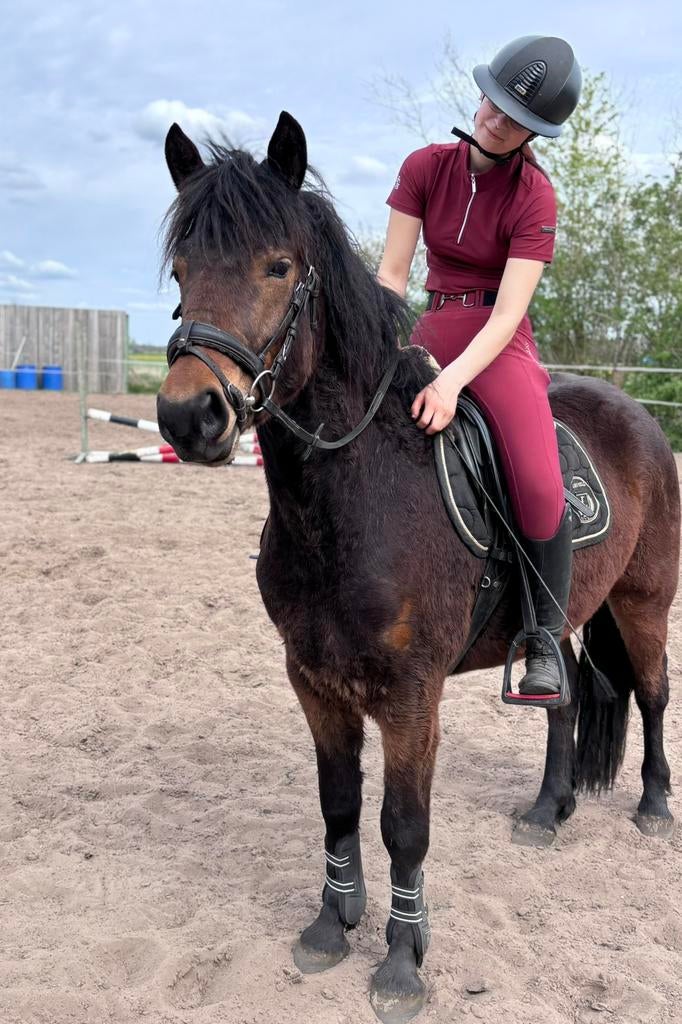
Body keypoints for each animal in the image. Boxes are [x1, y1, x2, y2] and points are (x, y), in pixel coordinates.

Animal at [156, 112, 679, 1024]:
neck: (350, 501)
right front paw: (331, 924)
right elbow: (337, 806)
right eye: (182, 270)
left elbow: (404, 824)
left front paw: (402, 959)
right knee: (563, 698)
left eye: (278, 266)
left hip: (644, 601)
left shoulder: (409, 694)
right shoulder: (314, 680)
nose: (190, 417)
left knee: (651, 693)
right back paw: (548, 811)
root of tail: (639, 416)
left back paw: (652, 805)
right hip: (565, 620)